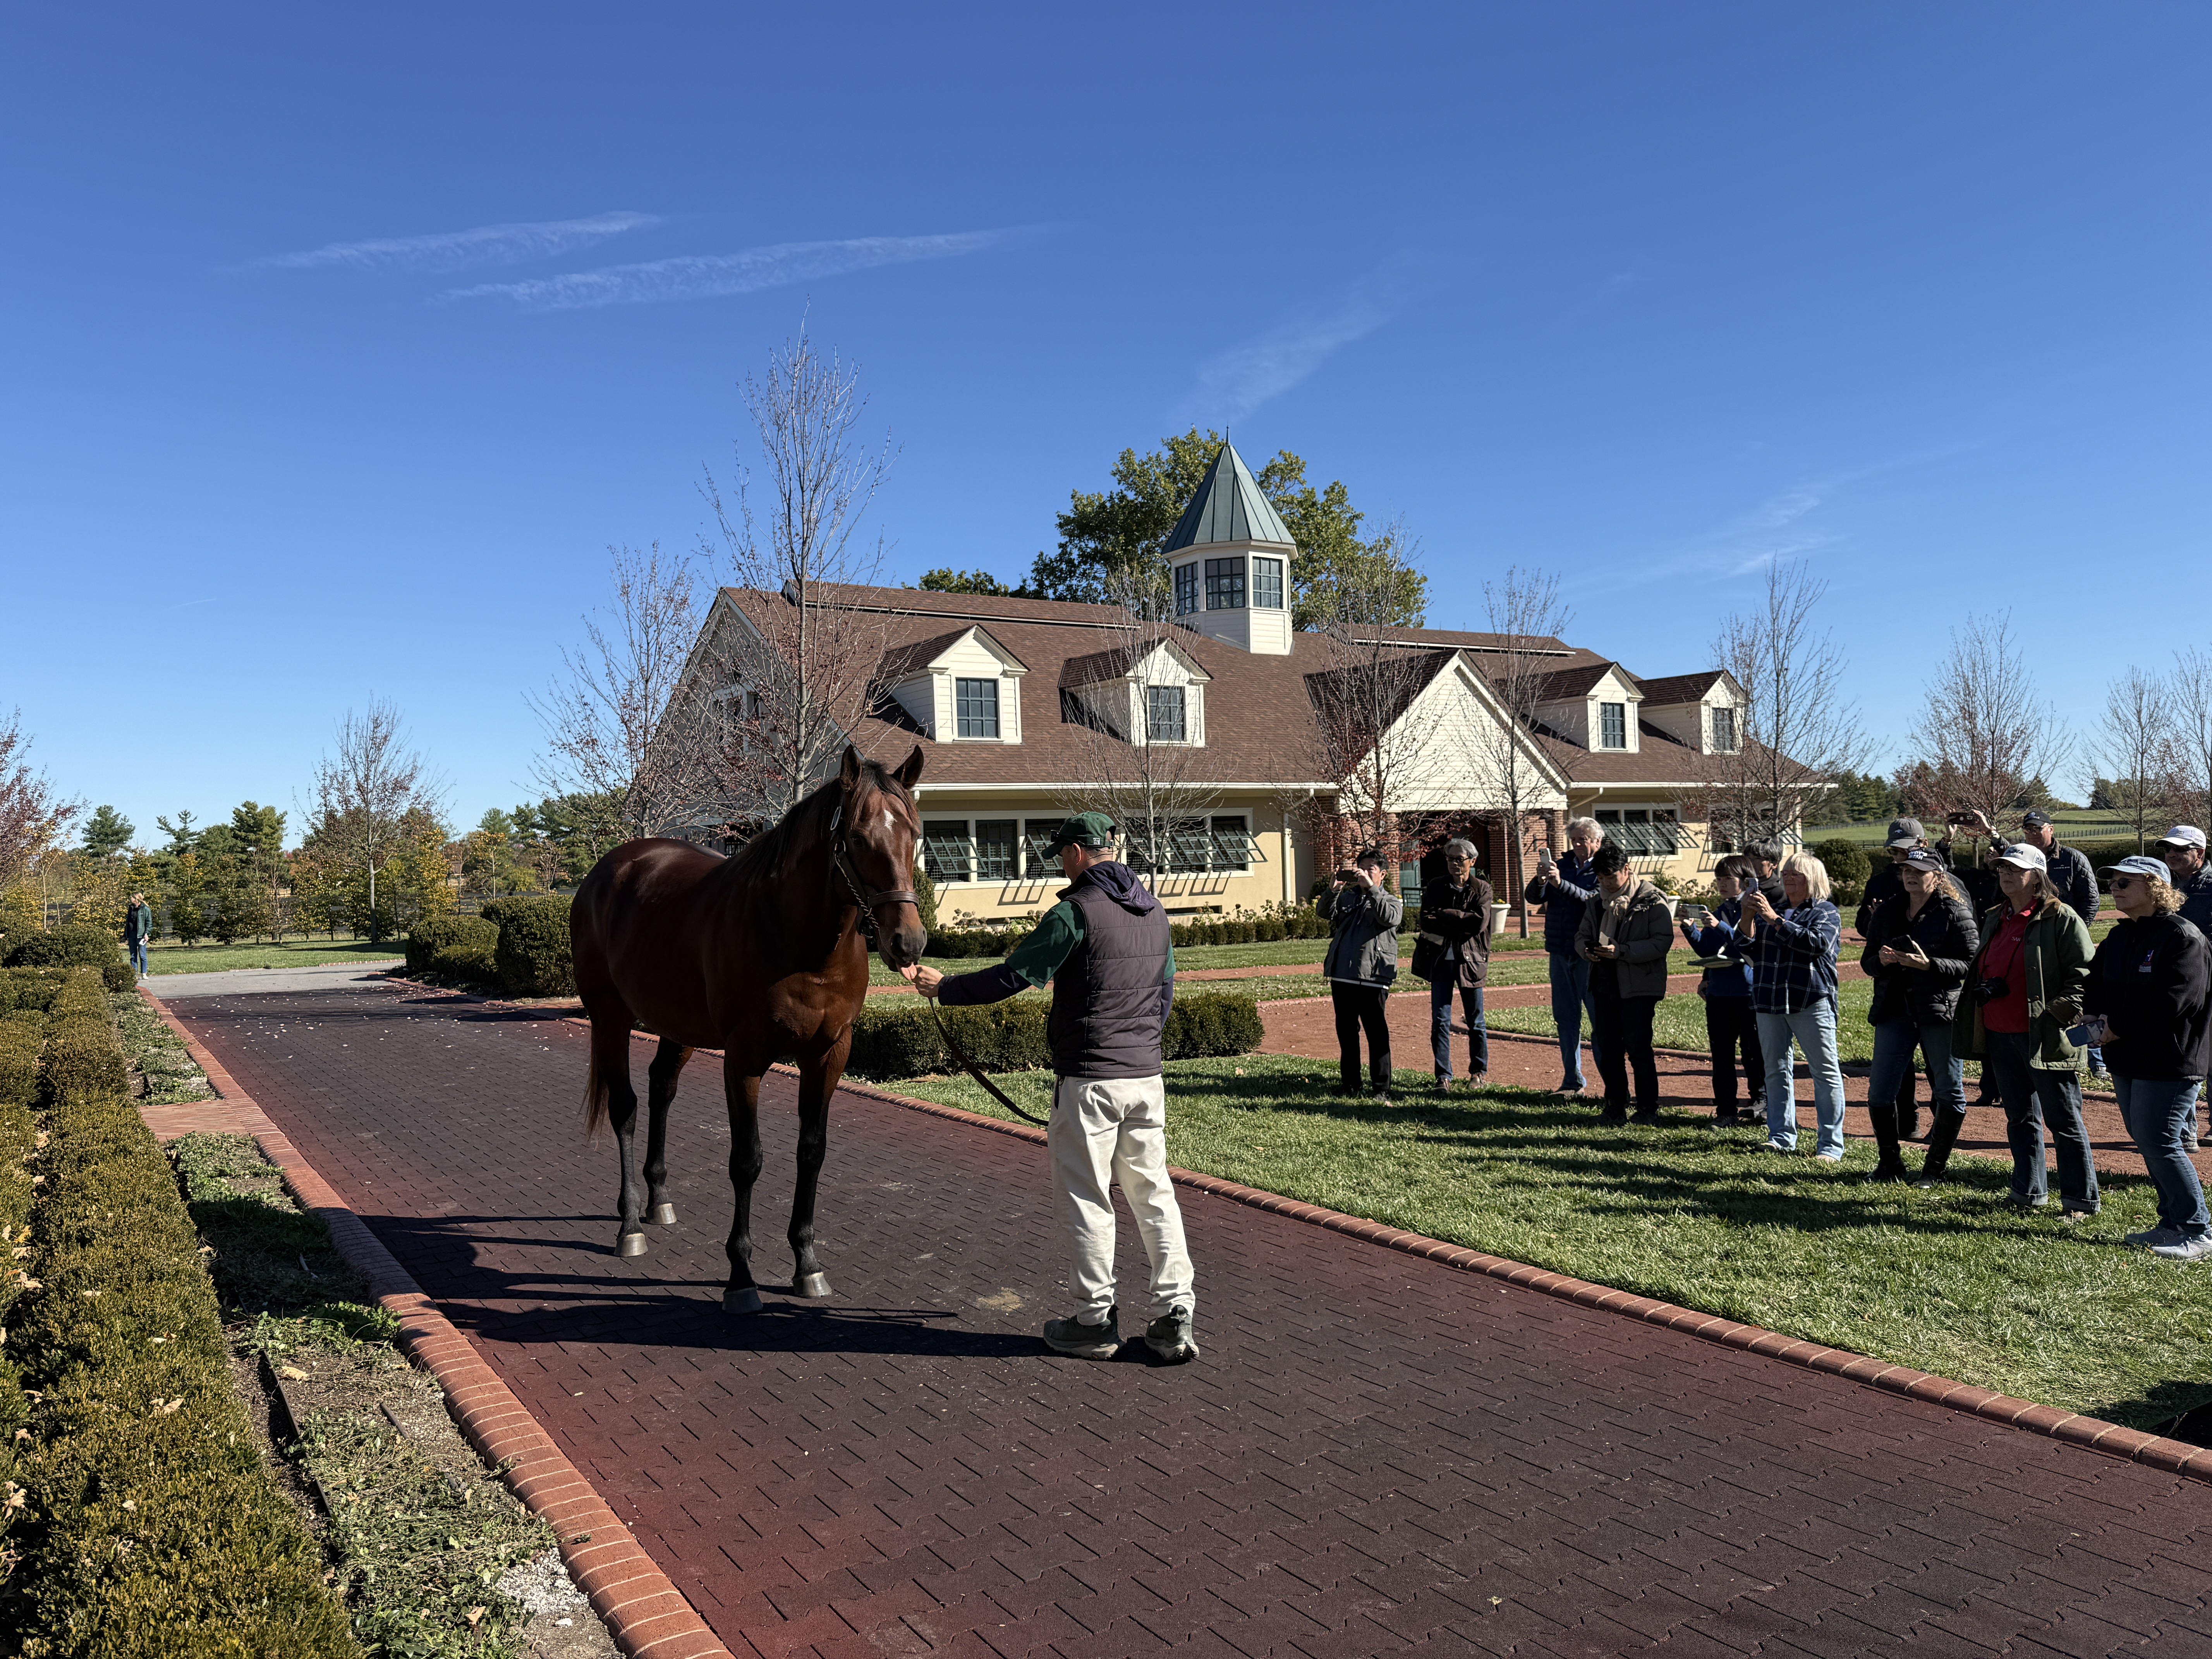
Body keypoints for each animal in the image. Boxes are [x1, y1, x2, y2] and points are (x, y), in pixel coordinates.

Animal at [570, 743, 927, 1315]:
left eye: (913, 834)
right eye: (857, 838)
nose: (908, 944)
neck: (797, 939)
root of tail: (609, 870)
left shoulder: (830, 1054)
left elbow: (812, 1151)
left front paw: (807, 1263)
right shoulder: (744, 1059)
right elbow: (747, 1160)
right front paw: (740, 1276)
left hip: (677, 1025)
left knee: (661, 1088)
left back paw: (659, 1201)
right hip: (610, 1017)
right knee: (625, 1108)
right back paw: (630, 1226)